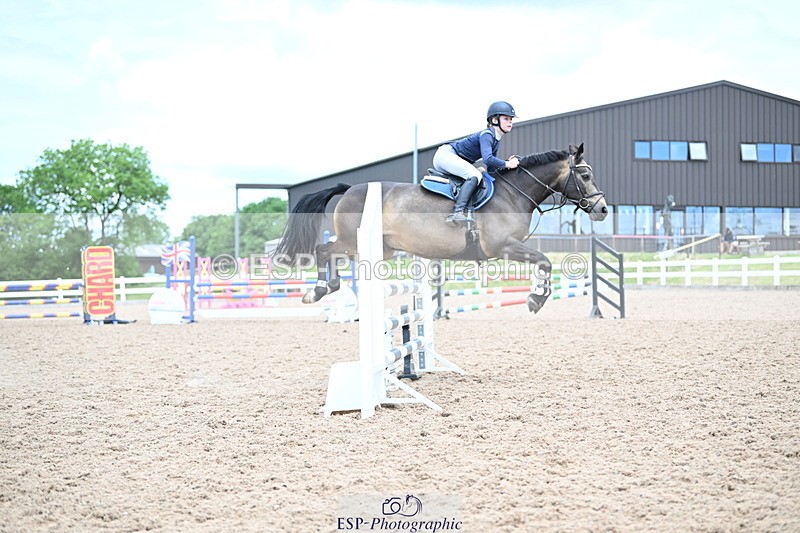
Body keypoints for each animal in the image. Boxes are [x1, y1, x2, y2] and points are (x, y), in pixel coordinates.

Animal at [273, 143, 607, 313]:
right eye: (586, 175)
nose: (603, 209)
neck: (514, 192)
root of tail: (349, 188)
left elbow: (544, 263)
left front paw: (537, 297)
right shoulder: (503, 246)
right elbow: (545, 261)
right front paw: (536, 299)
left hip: (380, 248)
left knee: (331, 254)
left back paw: (327, 288)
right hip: (352, 242)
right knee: (323, 249)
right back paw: (318, 290)